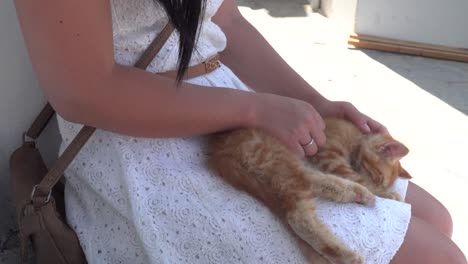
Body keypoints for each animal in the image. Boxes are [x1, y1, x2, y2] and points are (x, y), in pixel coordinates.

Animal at [208, 118, 410, 264]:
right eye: (378, 177)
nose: (382, 185)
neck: (356, 138)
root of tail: (221, 149)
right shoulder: (330, 157)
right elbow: (361, 179)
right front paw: (390, 195)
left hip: (280, 171)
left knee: (301, 195)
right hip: (281, 158)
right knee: (299, 209)